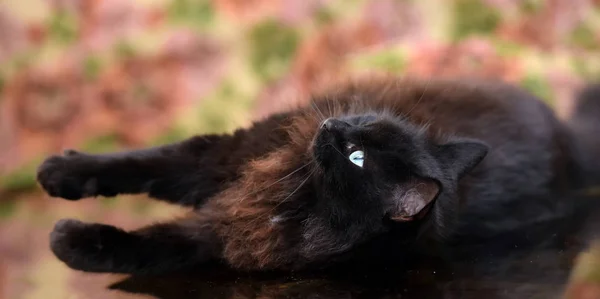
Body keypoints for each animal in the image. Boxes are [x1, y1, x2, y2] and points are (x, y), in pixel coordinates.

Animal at [36, 78, 600, 276]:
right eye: (367, 123)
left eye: (357, 158)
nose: (334, 125)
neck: (294, 191)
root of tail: (569, 139)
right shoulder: (221, 157)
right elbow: (140, 162)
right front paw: (60, 172)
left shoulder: (222, 238)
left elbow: (154, 246)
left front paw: (73, 242)